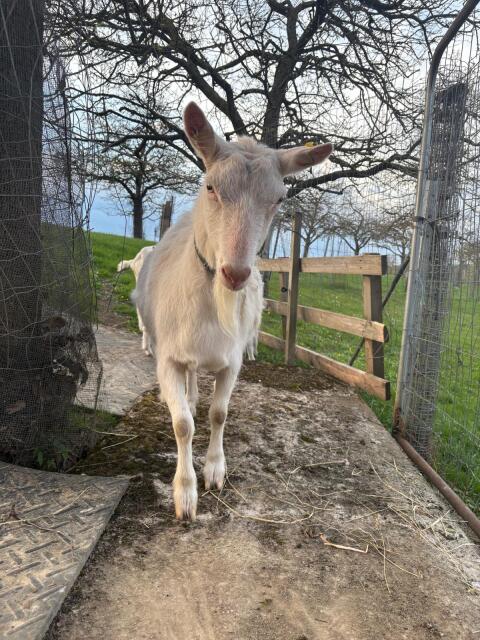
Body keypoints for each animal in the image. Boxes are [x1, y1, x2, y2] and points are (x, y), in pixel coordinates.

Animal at [133, 102, 332, 519]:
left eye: (278, 200)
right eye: (210, 186)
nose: (236, 273)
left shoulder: (232, 360)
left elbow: (219, 414)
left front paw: (214, 471)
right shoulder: (169, 357)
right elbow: (182, 424)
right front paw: (185, 495)